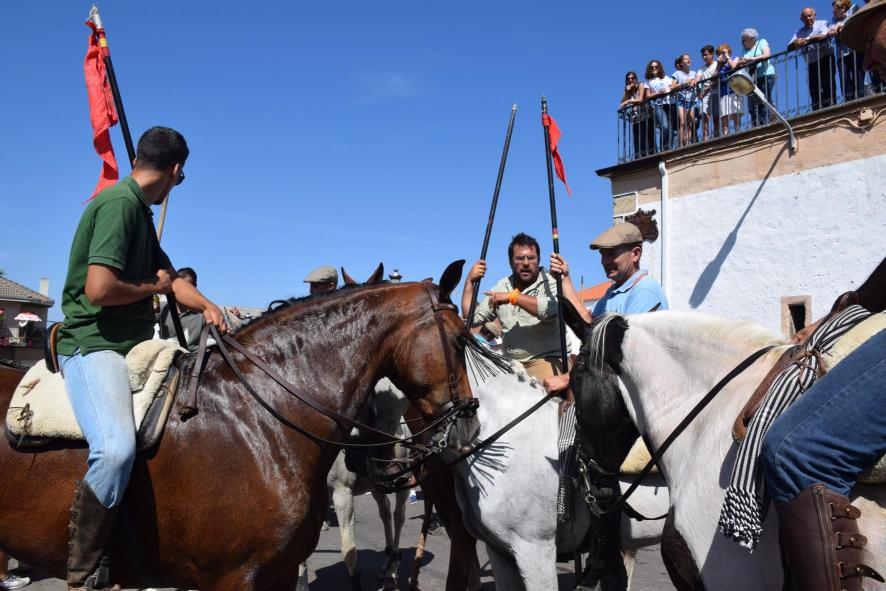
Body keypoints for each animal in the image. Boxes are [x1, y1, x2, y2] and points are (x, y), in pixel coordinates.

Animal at [297, 377, 412, 591]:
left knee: (398, 516)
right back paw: (386, 563)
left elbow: (349, 550)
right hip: (375, 487)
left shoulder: (342, 494)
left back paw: (393, 568)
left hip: (404, 483)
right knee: (385, 513)